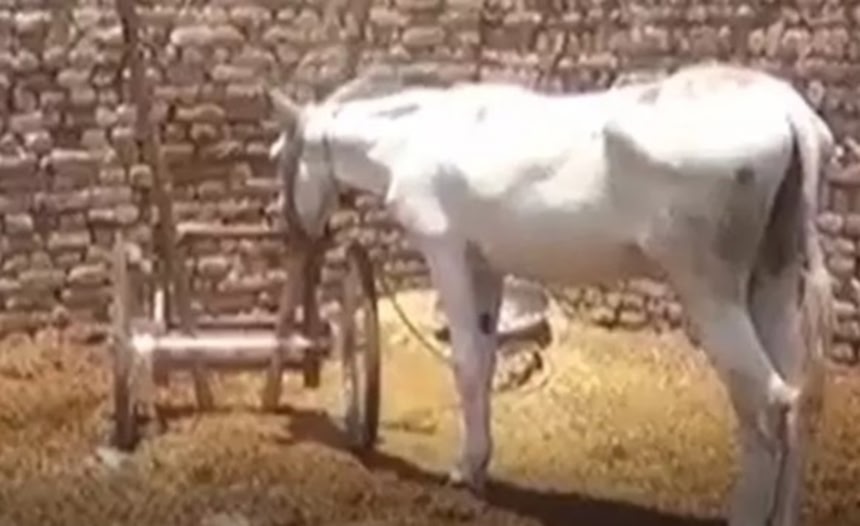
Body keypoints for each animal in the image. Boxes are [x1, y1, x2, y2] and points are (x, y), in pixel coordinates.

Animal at [267, 62, 835, 526]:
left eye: (283, 158)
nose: (293, 236)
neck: (413, 138)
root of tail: (788, 112)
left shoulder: (448, 254)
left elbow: (467, 364)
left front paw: (463, 470)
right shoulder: (487, 269)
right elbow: (486, 361)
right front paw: (479, 465)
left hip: (708, 290)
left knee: (769, 404)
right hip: (771, 282)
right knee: (797, 400)